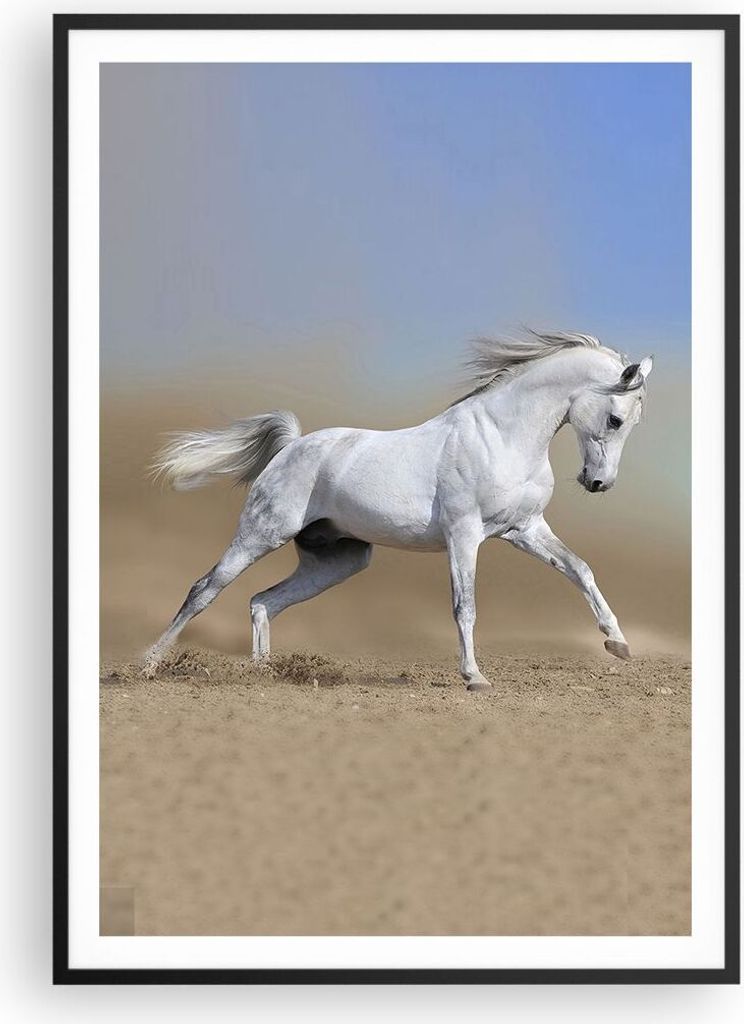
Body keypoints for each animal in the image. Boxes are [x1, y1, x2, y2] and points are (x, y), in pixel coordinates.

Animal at [144, 331, 653, 690]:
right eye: (615, 419)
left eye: (632, 423)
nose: (598, 483)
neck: (502, 436)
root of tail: (291, 447)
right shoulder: (464, 534)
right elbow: (465, 605)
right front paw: (474, 677)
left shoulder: (524, 529)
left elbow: (580, 569)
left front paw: (618, 643)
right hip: (260, 534)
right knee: (204, 589)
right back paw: (149, 665)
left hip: (338, 561)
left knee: (262, 601)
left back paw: (263, 673)